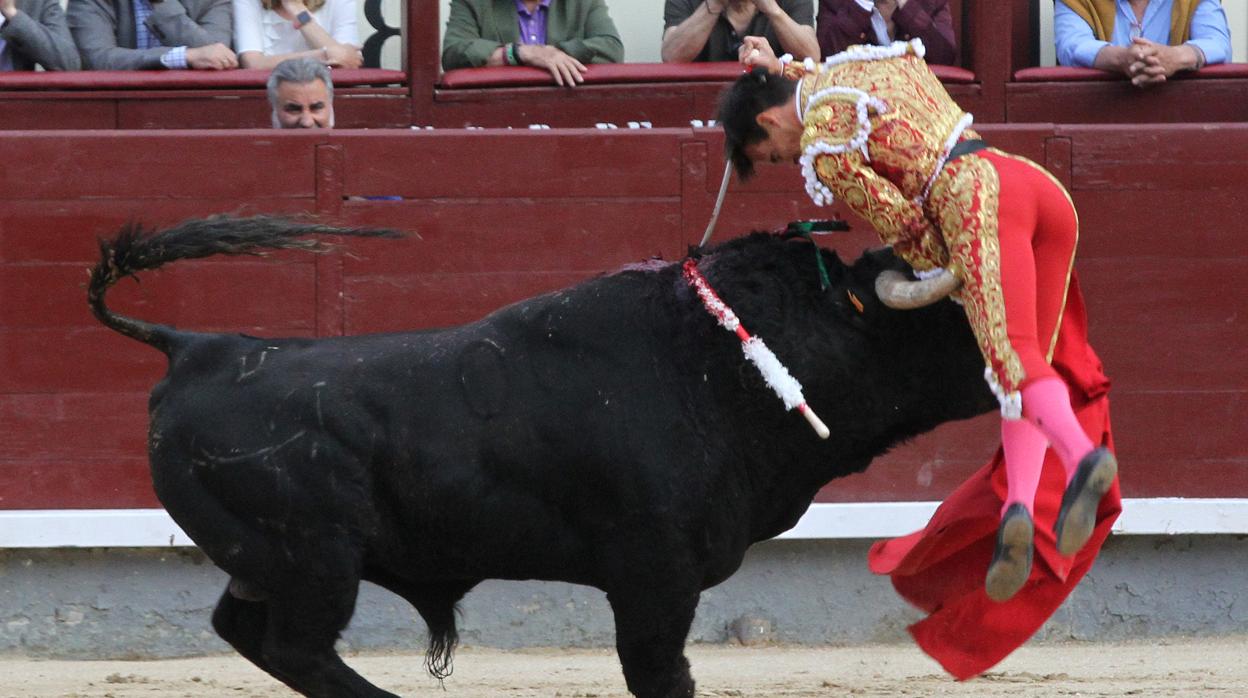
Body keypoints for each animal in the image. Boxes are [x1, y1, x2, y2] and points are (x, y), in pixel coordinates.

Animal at [87, 216, 993, 694]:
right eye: (955, 317)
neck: (732, 361)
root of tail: (196, 349)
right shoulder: (654, 577)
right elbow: (660, 672)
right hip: (317, 559)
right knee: (296, 647)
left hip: (271, 561)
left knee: (245, 629)